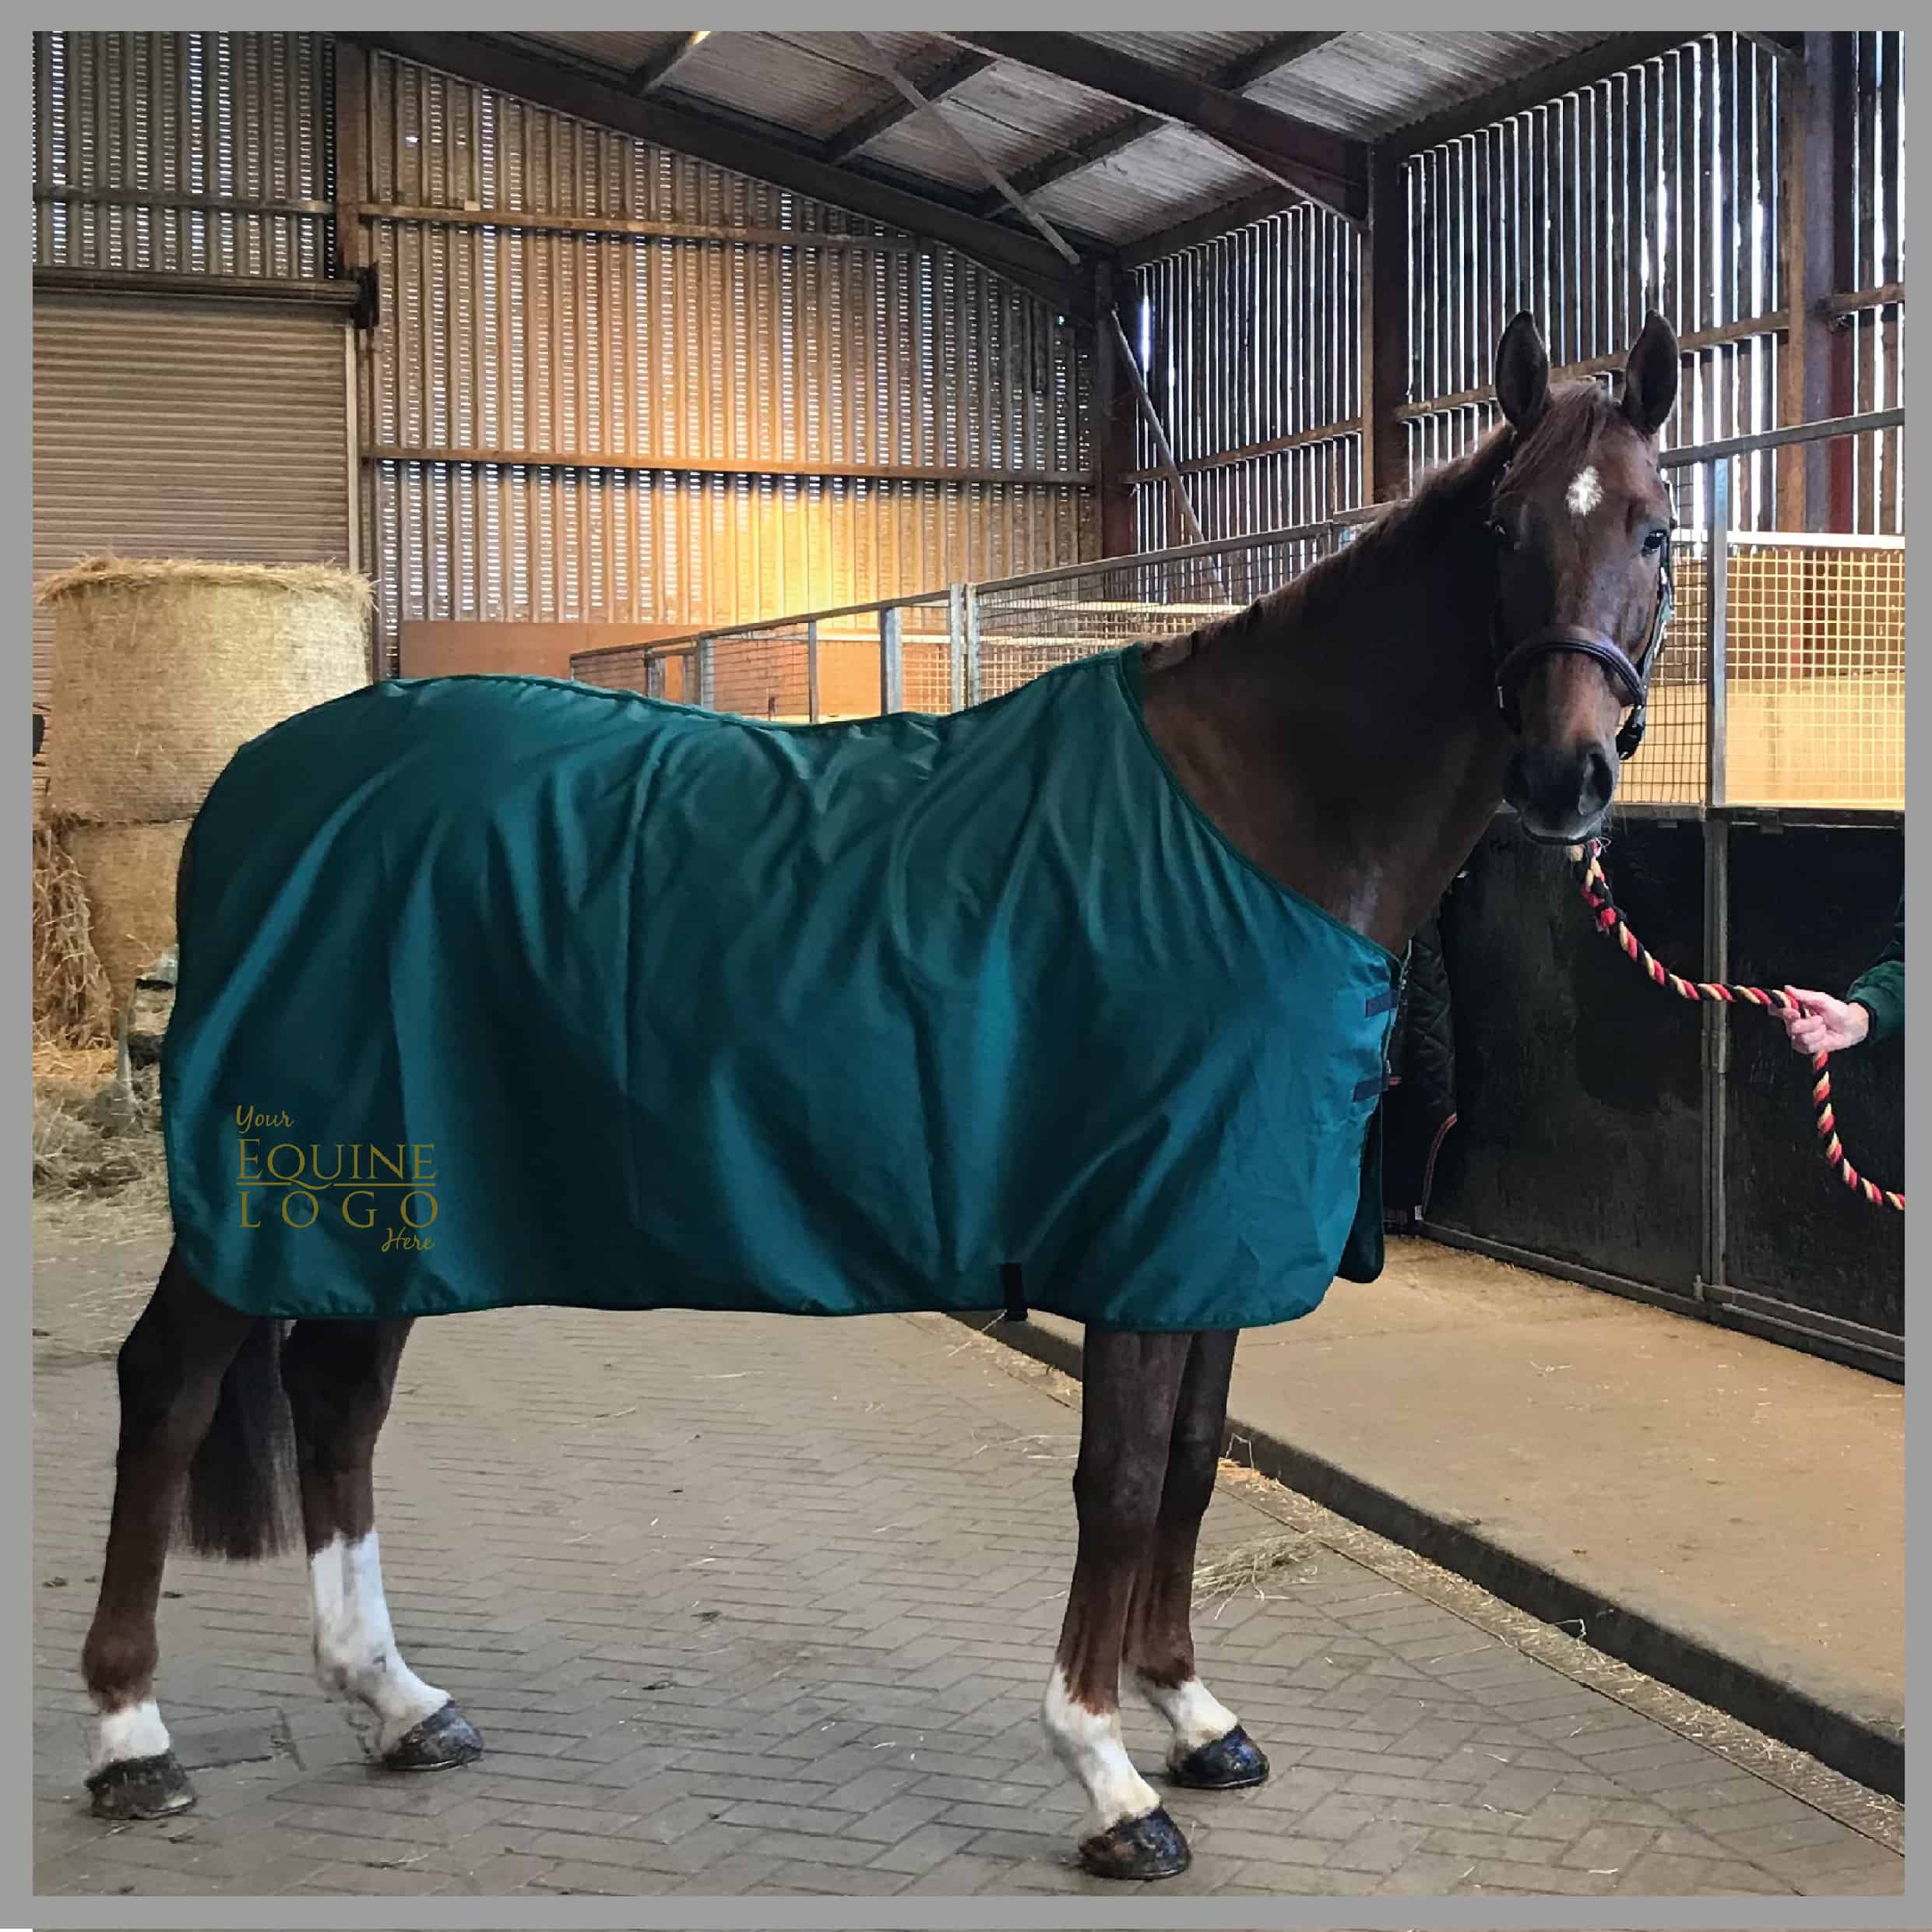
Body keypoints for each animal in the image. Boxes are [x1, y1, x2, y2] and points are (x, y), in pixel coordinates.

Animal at [76, 309, 1680, 1883]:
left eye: (1654, 531)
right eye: (1502, 529)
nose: (1567, 778)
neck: (1256, 816)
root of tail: (260, 782)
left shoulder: (1216, 1228)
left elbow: (1192, 1462)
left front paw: (1190, 1710)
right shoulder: (1143, 1230)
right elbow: (1118, 1477)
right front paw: (1105, 1773)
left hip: (395, 1190)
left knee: (340, 1398)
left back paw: (400, 1703)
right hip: (289, 1177)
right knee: (169, 1388)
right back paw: (133, 1738)